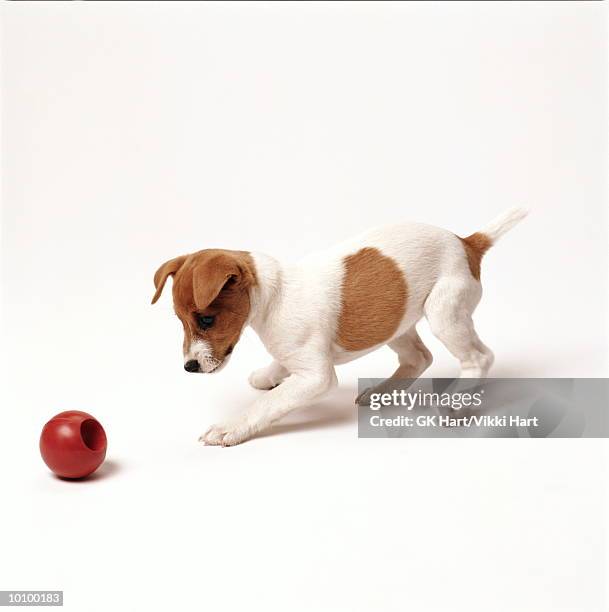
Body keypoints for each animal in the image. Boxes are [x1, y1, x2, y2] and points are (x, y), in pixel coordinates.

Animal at [152, 208, 528, 448]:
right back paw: (381, 393)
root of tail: (467, 242)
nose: (189, 367)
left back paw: (457, 404)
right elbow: (279, 367)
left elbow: (269, 404)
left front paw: (230, 427)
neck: (275, 295)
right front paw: (268, 374)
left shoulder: (317, 377)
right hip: (395, 320)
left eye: (206, 319)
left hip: (444, 313)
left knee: (479, 357)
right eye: (180, 320)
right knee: (419, 358)